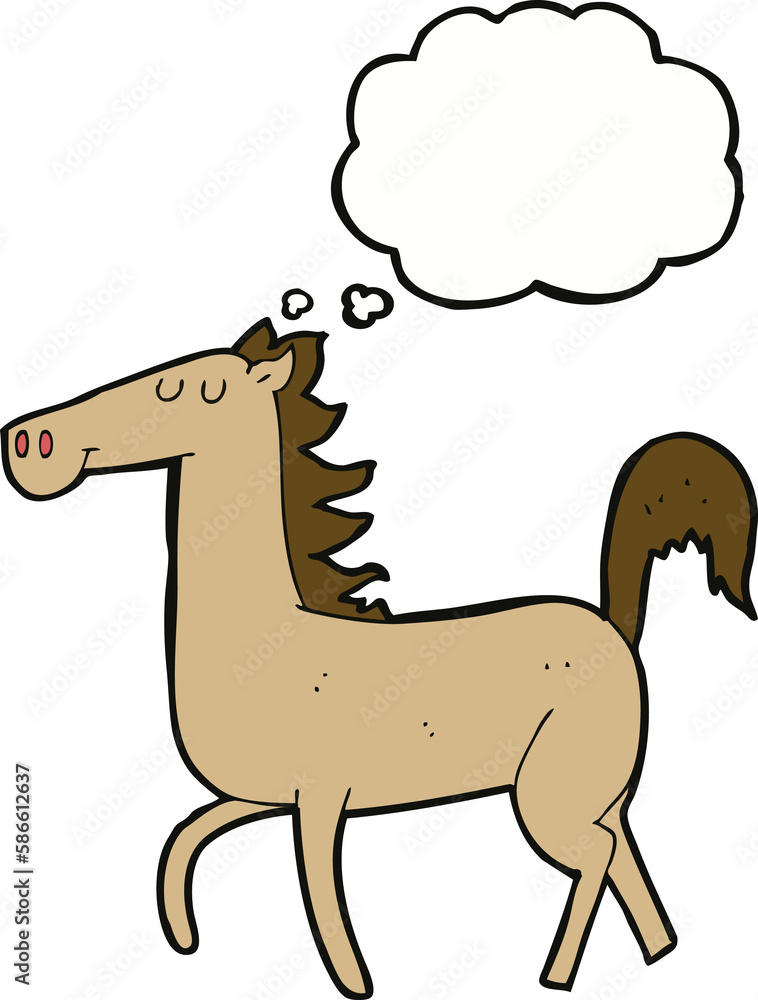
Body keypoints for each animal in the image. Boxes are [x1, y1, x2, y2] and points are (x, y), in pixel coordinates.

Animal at [3, 319, 755, 997]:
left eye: (191, 388)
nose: (31, 442)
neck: (261, 642)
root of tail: (614, 627)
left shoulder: (320, 801)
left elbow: (320, 895)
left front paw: (355, 982)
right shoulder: (258, 796)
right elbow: (188, 837)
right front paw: (183, 937)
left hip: (550, 800)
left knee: (595, 858)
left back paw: (556, 975)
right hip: (596, 792)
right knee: (625, 857)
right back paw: (658, 954)